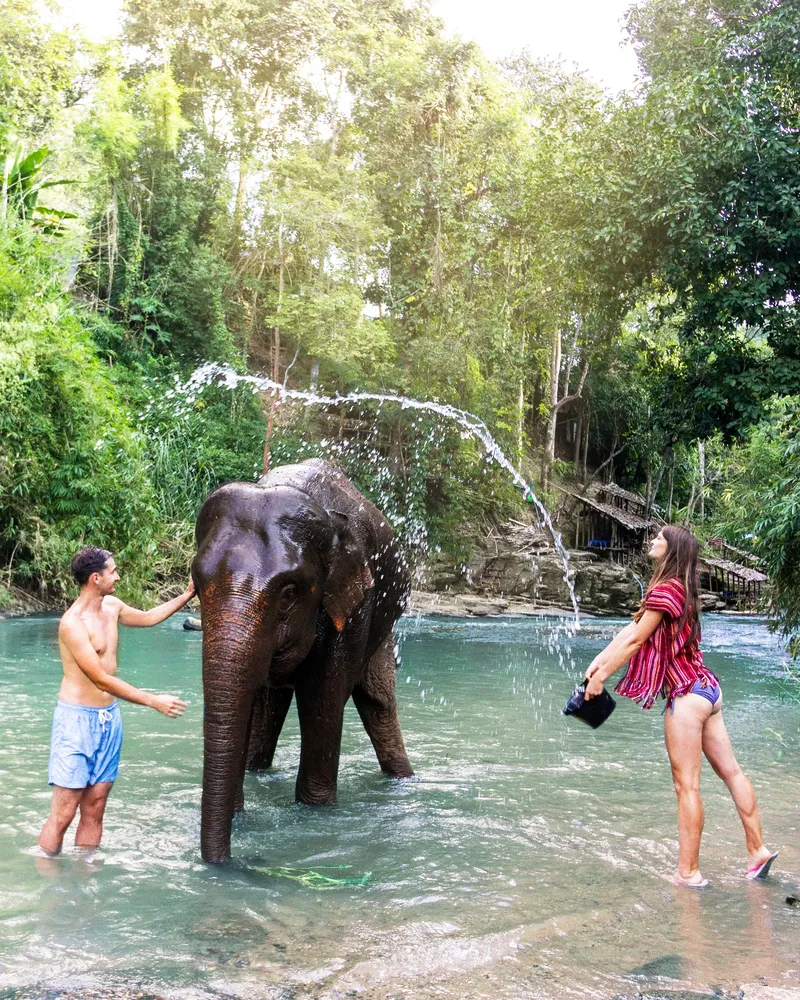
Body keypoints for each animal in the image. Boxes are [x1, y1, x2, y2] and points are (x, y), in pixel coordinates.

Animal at [189, 458, 412, 864]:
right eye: (196, 584)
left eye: (289, 592)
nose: (226, 861)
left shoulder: (355, 608)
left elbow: (322, 699)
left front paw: (315, 813)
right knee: (269, 706)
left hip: (384, 622)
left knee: (377, 701)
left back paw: (404, 781)